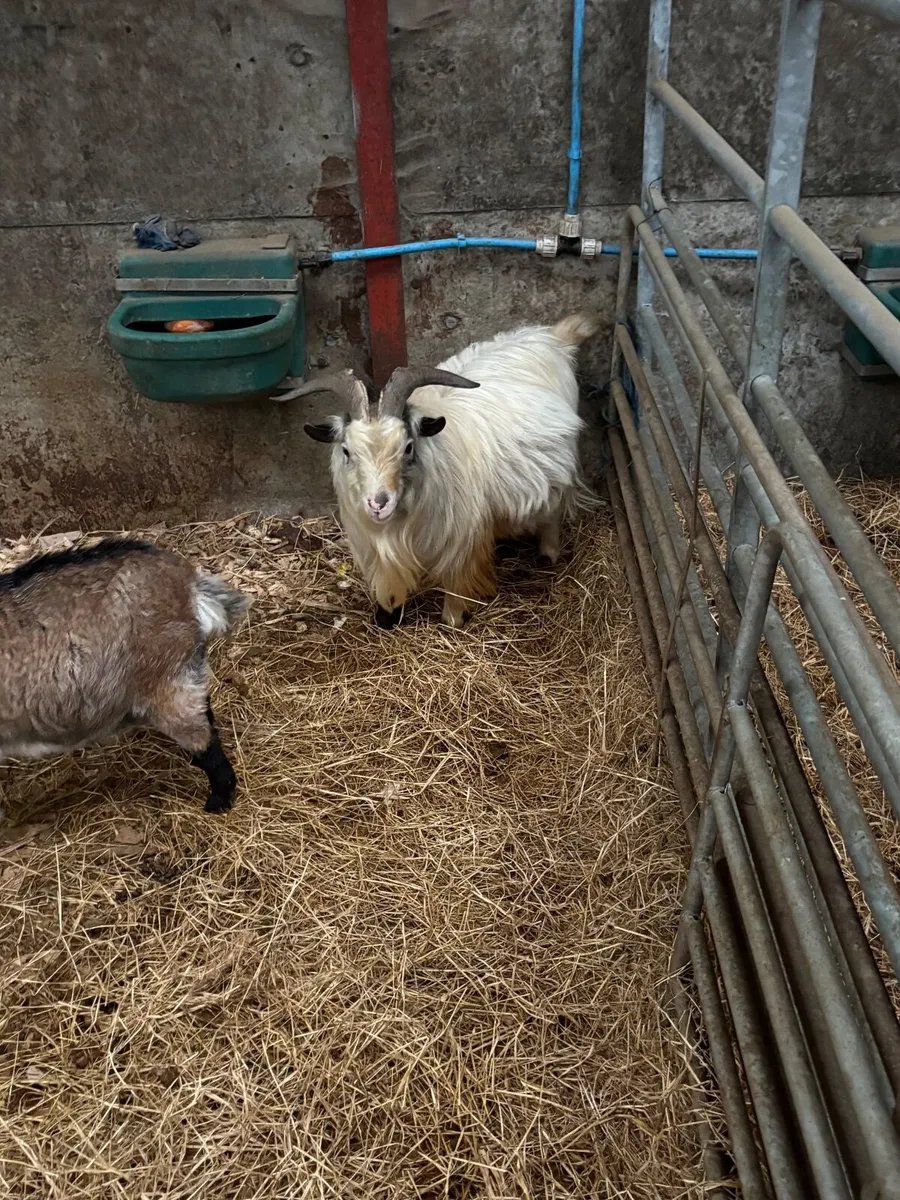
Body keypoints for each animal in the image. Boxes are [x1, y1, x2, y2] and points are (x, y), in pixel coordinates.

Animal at [281, 312, 598, 627]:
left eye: (408, 447)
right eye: (347, 451)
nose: (379, 504)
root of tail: (553, 338)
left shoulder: (461, 541)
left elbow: (455, 587)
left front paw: (454, 620)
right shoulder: (374, 546)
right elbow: (389, 583)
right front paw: (388, 615)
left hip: (559, 474)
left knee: (553, 512)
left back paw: (548, 553)